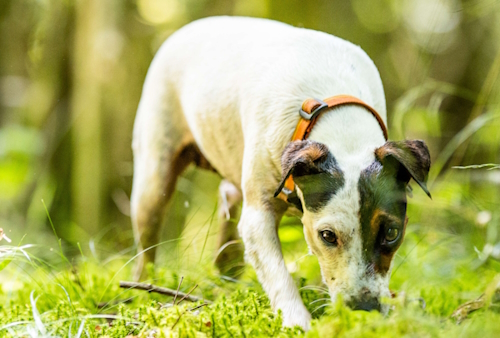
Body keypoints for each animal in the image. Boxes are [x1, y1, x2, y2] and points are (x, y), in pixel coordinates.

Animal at [131, 16, 432, 330]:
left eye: (392, 233)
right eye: (328, 236)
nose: (364, 309)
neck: (340, 125)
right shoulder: (257, 218)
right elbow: (278, 274)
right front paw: (298, 321)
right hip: (153, 178)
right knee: (147, 242)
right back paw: (142, 289)